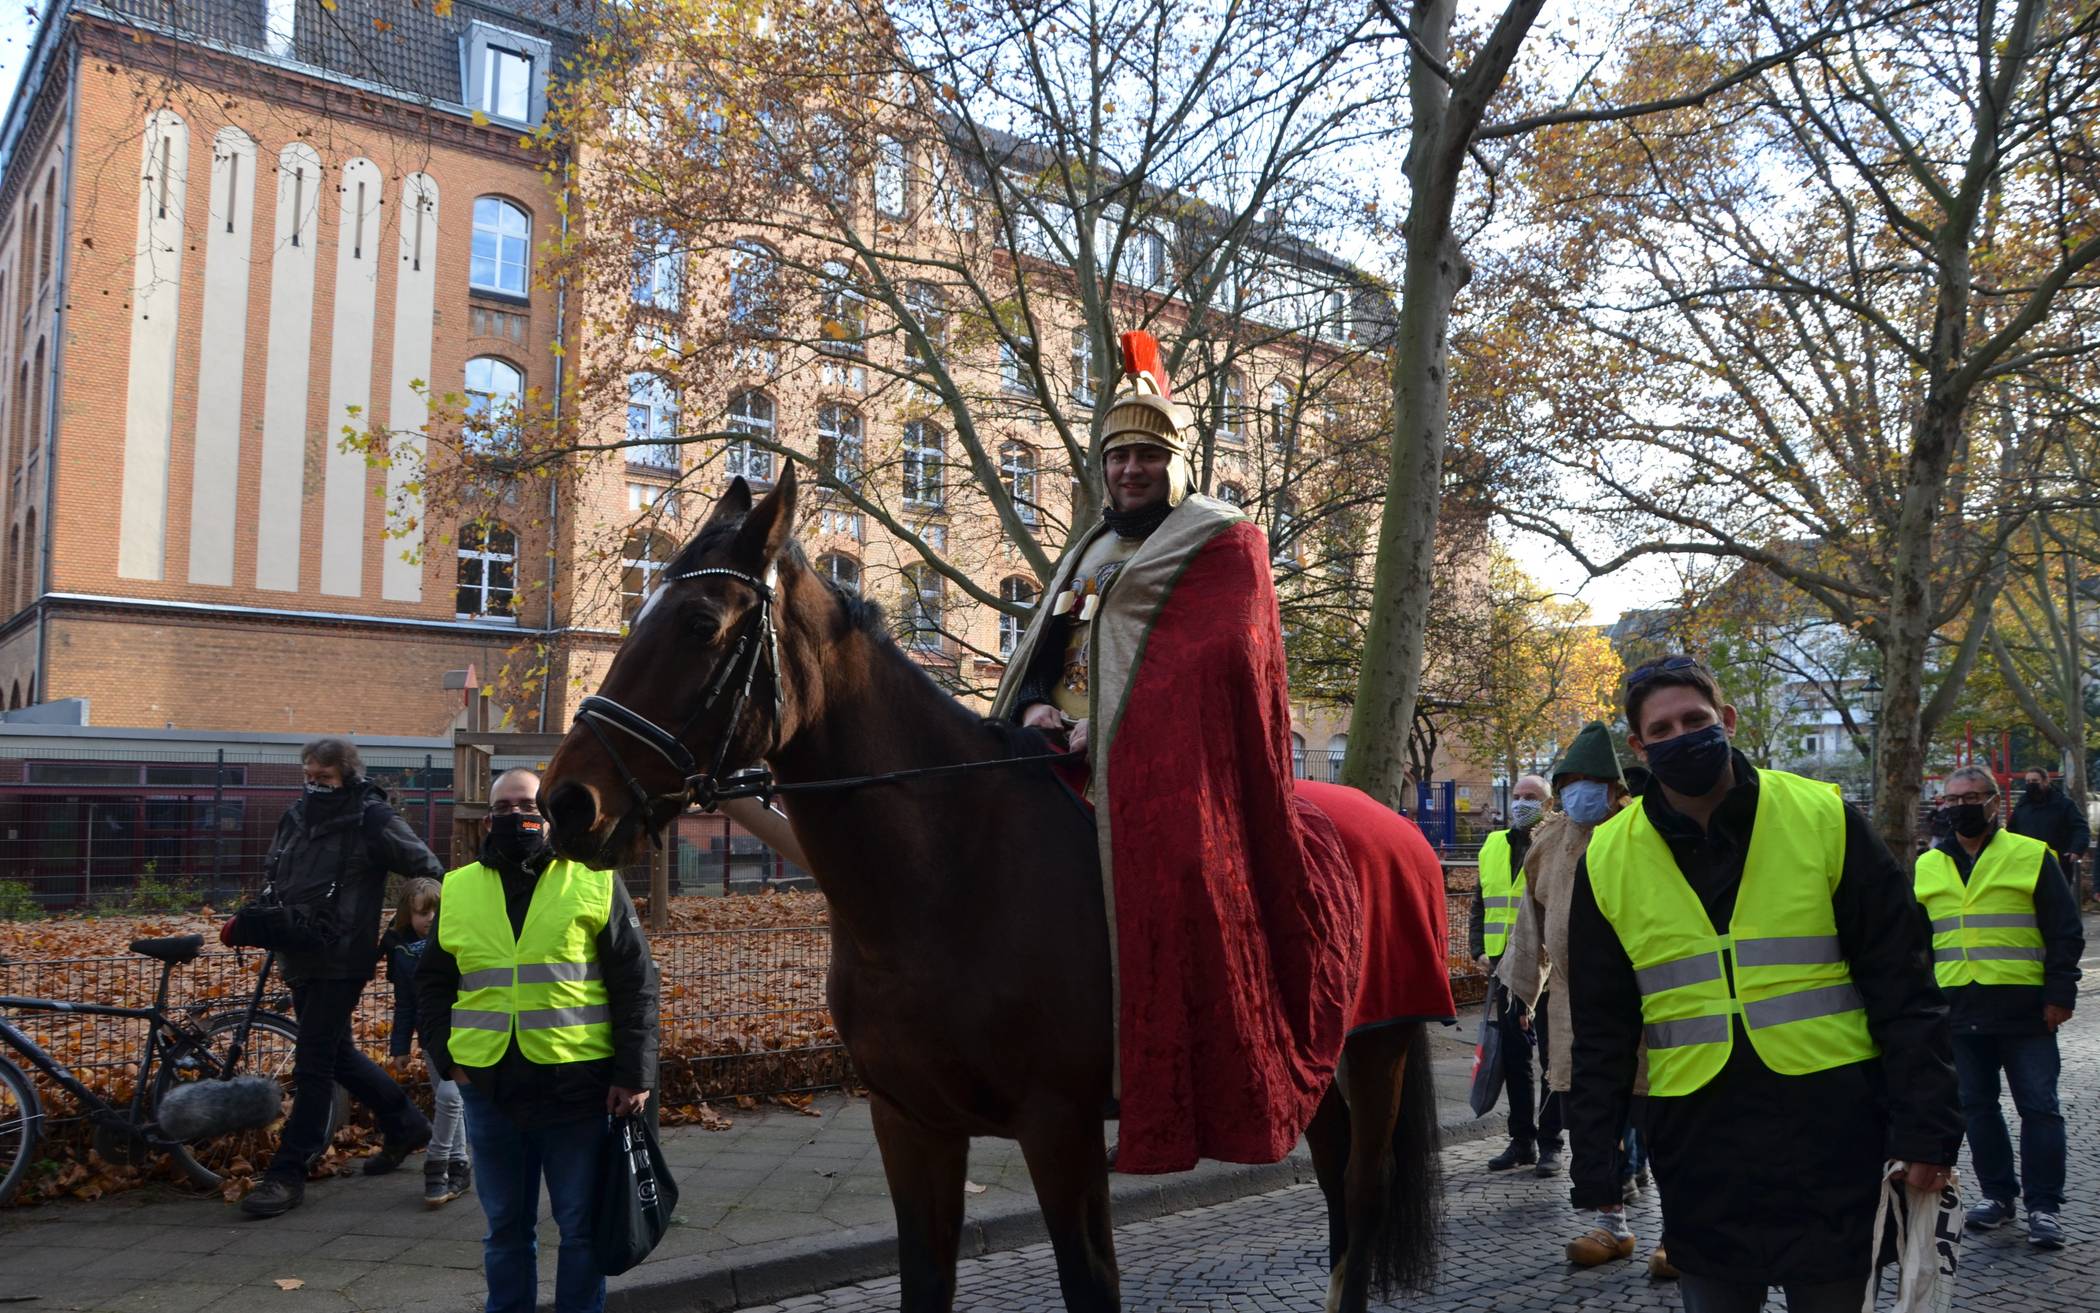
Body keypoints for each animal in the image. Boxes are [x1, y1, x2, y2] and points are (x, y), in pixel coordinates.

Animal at [541, 470, 1444, 1310]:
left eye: (700, 623)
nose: (567, 800)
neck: (946, 878)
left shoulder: (1062, 1128)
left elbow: (1090, 1282)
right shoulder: (910, 1120)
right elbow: (925, 1277)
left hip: (1381, 1045)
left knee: (1362, 1191)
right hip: (1309, 1060)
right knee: (1335, 1181)